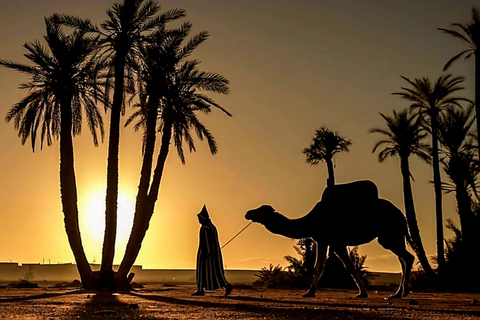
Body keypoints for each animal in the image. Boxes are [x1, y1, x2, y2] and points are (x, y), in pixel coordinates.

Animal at [246, 181, 414, 298]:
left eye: (261, 211)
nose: (248, 213)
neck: (311, 220)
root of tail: (401, 215)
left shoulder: (330, 240)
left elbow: (325, 267)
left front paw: (309, 292)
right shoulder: (330, 241)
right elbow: (342, 266)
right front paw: (362, 293)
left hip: (389, 234)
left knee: (408, 257)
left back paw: (402, 292)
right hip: (394, 235)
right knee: (402, 259)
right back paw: (398, 293)